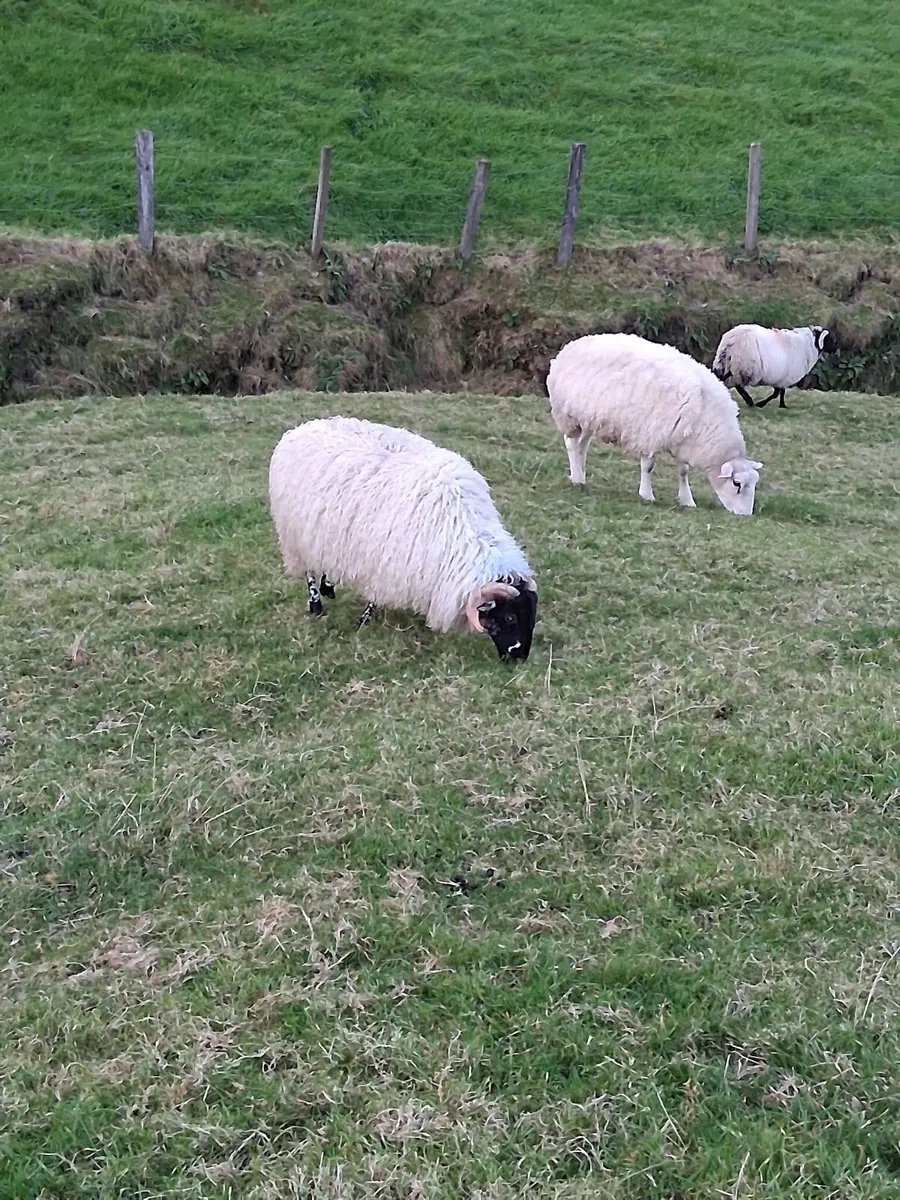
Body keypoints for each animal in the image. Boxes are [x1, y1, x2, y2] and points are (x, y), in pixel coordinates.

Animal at [268, 416, 538, 661]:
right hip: (296, 533)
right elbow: (374, 593)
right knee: (310, 570)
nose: (519, 658)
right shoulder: (382, 558)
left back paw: (329, 586)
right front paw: (364, 619)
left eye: (532, 615)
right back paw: (316, 604)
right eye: (510, 617)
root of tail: (305, 426)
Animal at [545, 332, 763, 516]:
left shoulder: (684, 438)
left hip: (589, 417)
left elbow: (683, 471)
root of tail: (572, 345)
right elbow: (648, 466)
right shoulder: (650, 432)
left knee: (583, 445)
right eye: (737, 484)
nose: (745, 515)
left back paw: (581, 475)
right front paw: (646, 495)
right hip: (569, 414)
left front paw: (687, 500)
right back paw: (577, 478)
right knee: (572, 444)